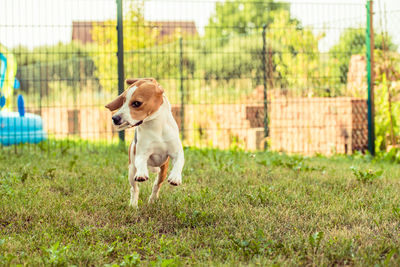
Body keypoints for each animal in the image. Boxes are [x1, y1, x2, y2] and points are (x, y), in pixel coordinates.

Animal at [104, 78, 184, 208]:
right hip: (131, 171)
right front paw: (142, 173)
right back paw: (133, 205)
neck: (156, 127)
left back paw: (152, 199)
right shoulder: (141, 153)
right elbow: (141, 161)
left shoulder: (176, 152)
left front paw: (175, 177)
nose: (114, 118)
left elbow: (179, 162)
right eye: (123, 100)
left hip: (163, 170)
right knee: (134, 188)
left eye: (137, 103)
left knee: (157, 185)